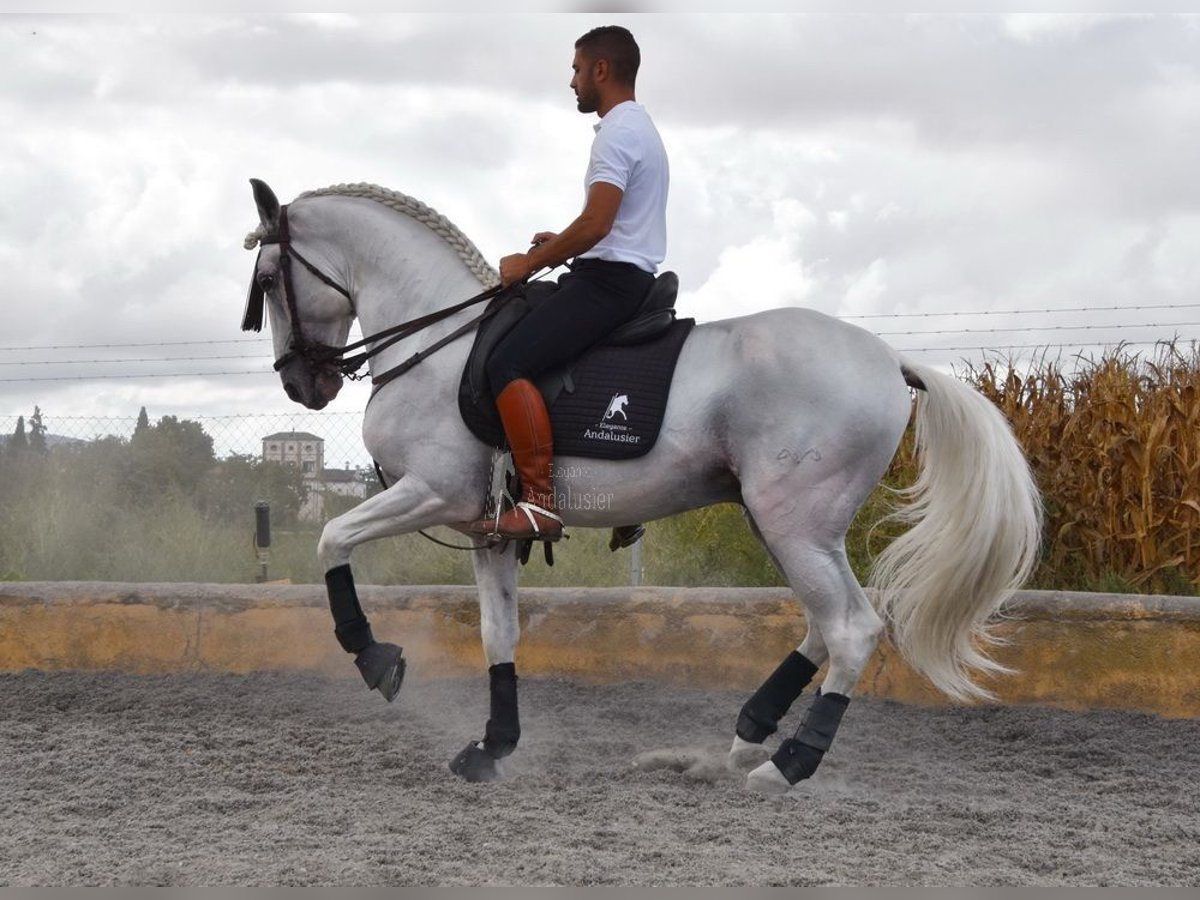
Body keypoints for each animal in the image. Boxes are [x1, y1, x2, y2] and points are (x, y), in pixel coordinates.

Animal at [241, 177, 1041, 796]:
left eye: (267, 281)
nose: (300, 384)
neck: (440, 344)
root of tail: (889, 360)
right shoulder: (490, 530)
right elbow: (499, 633)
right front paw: (493, 747)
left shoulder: (432, 490)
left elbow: (331, 538)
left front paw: (376, 658)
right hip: (789, 524)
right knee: (824, 625)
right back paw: (747, 737)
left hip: (794, 523)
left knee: (851, 629)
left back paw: (786, 764)